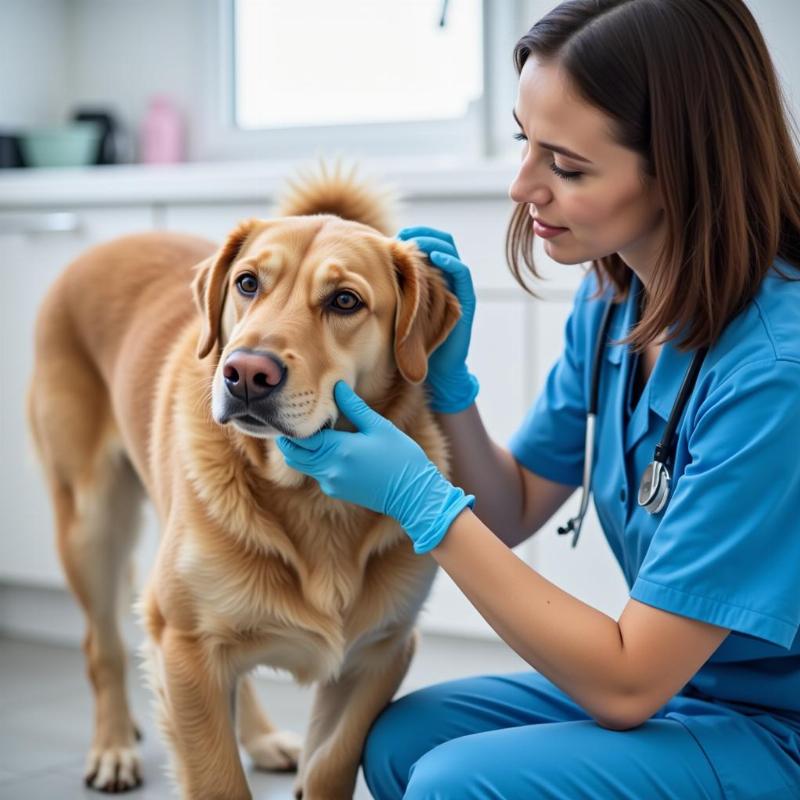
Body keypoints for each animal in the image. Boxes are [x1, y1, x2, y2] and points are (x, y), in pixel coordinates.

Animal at [28, 164, 462, 800]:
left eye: (345, 300)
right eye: (248, 283)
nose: (245, 373)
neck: (310, 499)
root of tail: (104, 246)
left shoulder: (378, 653)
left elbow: (330, 763)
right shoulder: (182, 642)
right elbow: (216, 776)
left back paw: (261, 738)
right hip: (91, 524)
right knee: (100, 645)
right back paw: (112, 748)